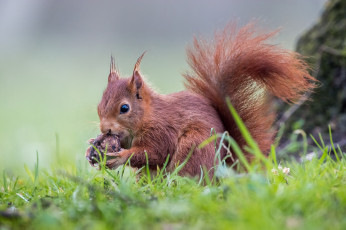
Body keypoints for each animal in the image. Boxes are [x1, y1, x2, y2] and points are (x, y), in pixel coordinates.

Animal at [87, 23, 316, 177]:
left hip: (194, 147)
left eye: (124, 108)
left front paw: (119, 156)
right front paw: (92, 146)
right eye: (98, 106)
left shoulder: (162, 130)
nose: (105, 129)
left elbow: (154, 153)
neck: (148, 116)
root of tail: (225, 168)